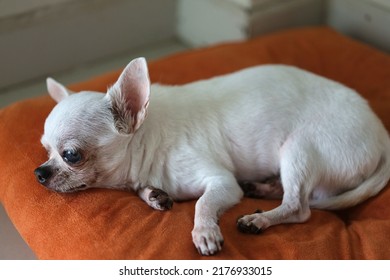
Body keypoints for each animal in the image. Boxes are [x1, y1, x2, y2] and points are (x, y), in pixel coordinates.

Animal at [35, 58, 390, 255]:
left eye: (71, 155)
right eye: (45, 150)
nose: (39, 172)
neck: (145, 141)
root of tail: (381, 133)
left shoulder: (221, 182)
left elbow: (203, 204)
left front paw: (204, 232)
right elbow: (147, 191)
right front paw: (154, 195)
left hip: (298, 149)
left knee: (299, 206)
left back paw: (260, 218)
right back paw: (261, 188)